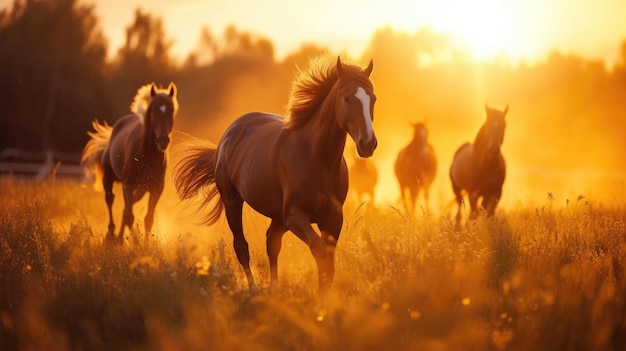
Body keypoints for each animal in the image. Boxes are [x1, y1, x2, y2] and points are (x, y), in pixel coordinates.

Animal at [81, 84, 178, 246]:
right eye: (153, 110)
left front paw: (145, 246)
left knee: (128, 206)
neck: (146, 154)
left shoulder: (157, 188)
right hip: (109, 180)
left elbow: (148, 218)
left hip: (141, 190)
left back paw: (119, 238)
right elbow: (129, 216)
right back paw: (111, 234)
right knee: (111, 200)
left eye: (171, 110)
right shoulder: (128, 185)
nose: (163, 141)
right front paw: (137, 243)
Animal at [173, 56, 376, 296]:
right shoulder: (295, 216)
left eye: (373, 98)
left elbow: (329, 263)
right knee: (242, 246)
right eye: (347, 98)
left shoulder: (333, 219)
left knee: (271, 243)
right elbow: (319, 252)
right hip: (233, 202)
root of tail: (228, 135)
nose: (368, 144)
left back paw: (274, 289)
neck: (317, 158)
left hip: (277, 215)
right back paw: (254, 290)